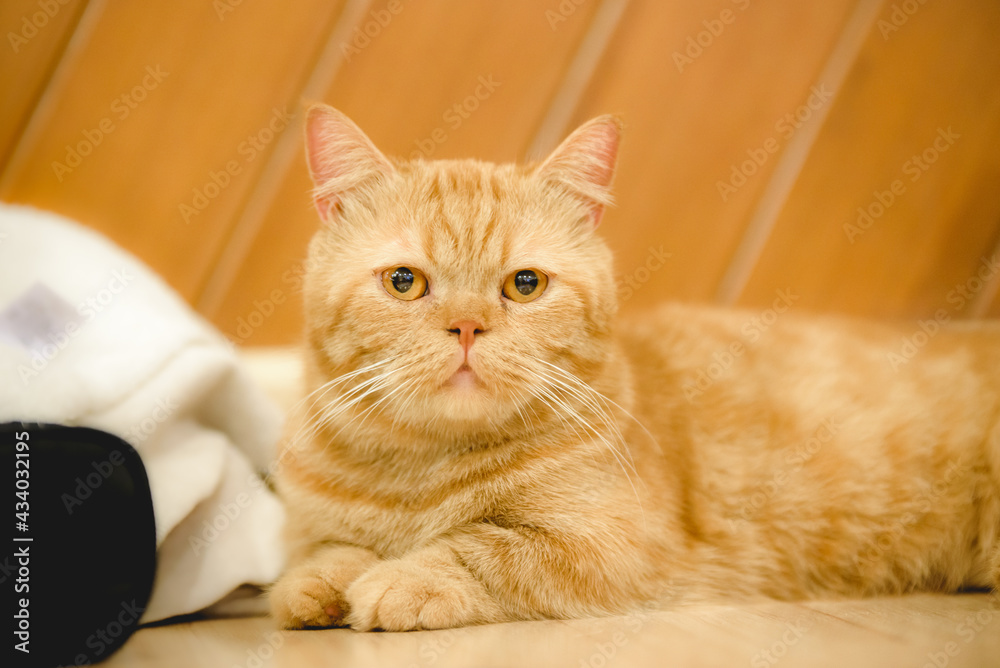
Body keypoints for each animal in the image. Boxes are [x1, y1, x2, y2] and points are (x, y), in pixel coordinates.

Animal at [270, 104, 1000, 632]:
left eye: (525, 285)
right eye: (404, 282)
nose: (468, 325)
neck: (419, 473)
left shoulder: (612, 549)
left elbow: (484, 546)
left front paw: (401, 578)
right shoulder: (316, 526)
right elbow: (324, 551)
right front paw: (317, 583)